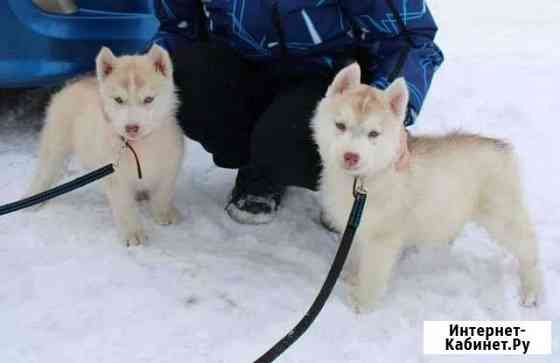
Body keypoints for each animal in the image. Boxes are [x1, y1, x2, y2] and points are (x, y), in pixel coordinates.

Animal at [27, 44, 185, 246]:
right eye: (118, 100)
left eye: (148, 99)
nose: (131, 127)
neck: (140, 144)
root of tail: (75, 82)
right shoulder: (116, 178)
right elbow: (125, 207)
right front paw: (133, 233)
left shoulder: (169, 166)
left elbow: (163, 193)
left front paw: (163, 214)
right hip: (56, 144)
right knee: (45, 171)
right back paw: (33, 198)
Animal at [310, 64, 544, 314]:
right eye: (340, 125)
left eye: (373, 134)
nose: (351, 156)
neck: (363, 179)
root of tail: (501, 146)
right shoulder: (356, 225)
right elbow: (355, 253)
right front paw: (353, 275)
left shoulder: (383, 238)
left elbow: (373, 271)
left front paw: (363, 302)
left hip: (502, 215)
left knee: (528, 246)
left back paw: (532, 290)